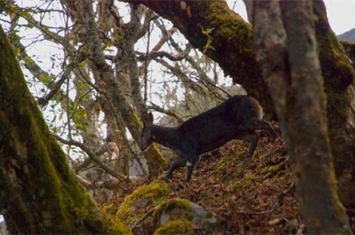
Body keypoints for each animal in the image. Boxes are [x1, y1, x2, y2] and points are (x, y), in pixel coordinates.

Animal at [140, 95, 278, 182]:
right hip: (238, 131)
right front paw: (167, 177)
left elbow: (188, 170)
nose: (141, 147)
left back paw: (275, 140)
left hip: (247, 119)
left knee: (265, 124)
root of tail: (253, 100)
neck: (175, 140)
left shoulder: (192, 150)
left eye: (142, 134)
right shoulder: (187, 154)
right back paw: (246, 159)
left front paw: (185, 184)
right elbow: (174, 163)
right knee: (255, 136)